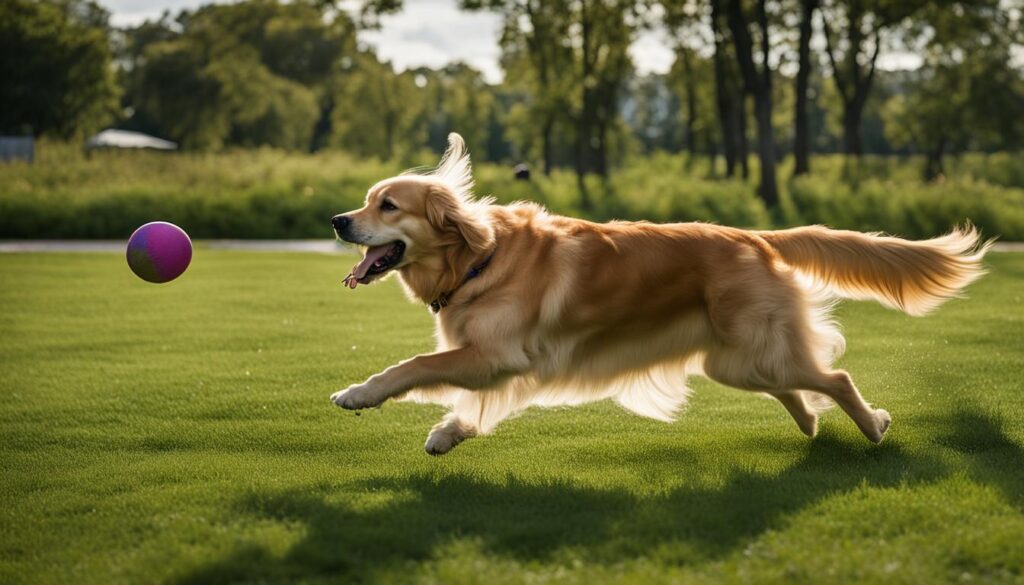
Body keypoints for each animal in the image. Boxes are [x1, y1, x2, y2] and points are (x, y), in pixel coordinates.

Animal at [329, 134, 991, 456]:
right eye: (366, 200)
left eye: (389, 206)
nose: (337, 220)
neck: (478, 259)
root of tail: (754, 236)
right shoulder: (503, 363)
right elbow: (472, 401)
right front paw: (450, 433)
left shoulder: (496, 354)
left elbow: (415, 365)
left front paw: (359, 393)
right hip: (736, 362)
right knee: (797, 387)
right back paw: (809, 424)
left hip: (756, 351)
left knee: (838, 377)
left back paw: (872, 427)